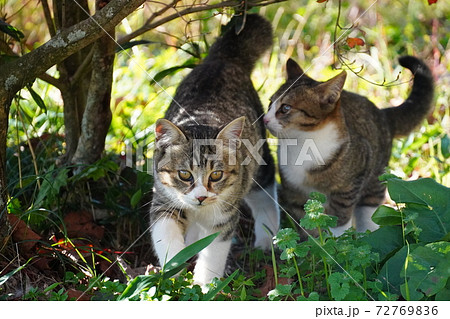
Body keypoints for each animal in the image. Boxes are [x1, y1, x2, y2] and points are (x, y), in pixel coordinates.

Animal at [149, 13, 280, 286]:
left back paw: (266, 236)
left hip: (259, 158)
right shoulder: (163, 200)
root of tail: (223, 58)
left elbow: (214, 251)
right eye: (184, 175)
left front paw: (204, 285)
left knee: (265, 190)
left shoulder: (225, 216)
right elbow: (166, 234)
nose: (201, 197)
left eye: (216, 175)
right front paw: (174, 267)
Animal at [264, 57, 432, 238]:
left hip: (374, 180)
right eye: (269, 103)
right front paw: (313, 243)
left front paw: (338, 242)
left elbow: (339, 219)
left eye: (285, 108)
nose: (265, 119)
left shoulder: (348, 187)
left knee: (369, 210)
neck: (302, 144)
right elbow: (307, 226)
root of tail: (382, 113)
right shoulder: (294, 193)